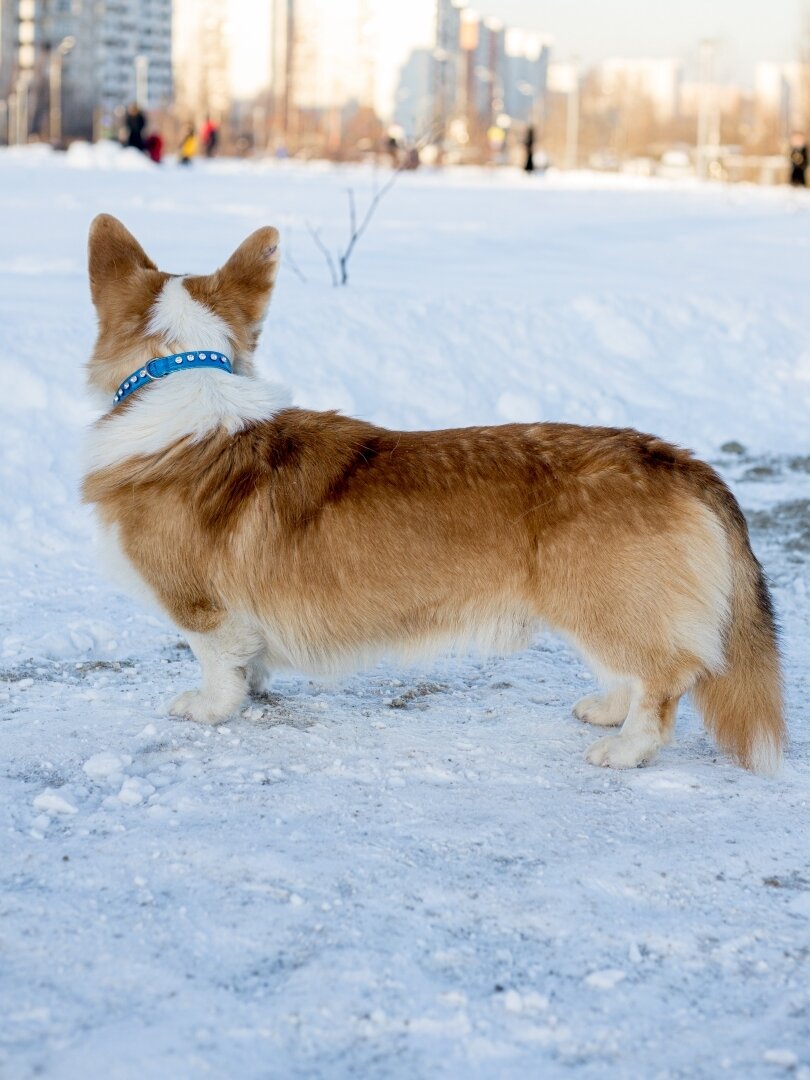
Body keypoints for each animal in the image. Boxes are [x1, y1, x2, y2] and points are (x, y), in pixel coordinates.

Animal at [82, 215, 786, 773]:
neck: (182, 379)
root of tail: (679, 460)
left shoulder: (199, 607)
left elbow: (216, 665)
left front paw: (207, 709)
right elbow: (249, 662)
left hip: (600, 599)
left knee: (666, 676)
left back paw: (627, 748)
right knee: (633, 670)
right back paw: (608, 710)